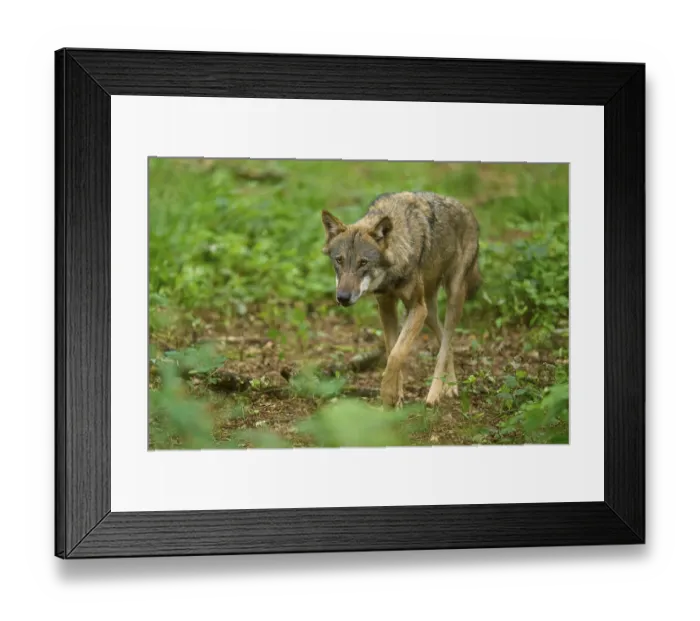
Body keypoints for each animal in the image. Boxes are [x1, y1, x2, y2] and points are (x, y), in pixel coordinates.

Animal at [321, 191, 481, 408]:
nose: (343, 298)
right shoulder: (387, 307)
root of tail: (468, 211)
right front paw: (396, 397)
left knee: (445, 343)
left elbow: (397, 354)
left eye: (363, 263)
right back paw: (450, 385)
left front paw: (388, 394)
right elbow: (391, 350)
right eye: (339, 260)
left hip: (452, 297)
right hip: (429, 312)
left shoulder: (416, 309)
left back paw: (435, 394)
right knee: (445, 344)